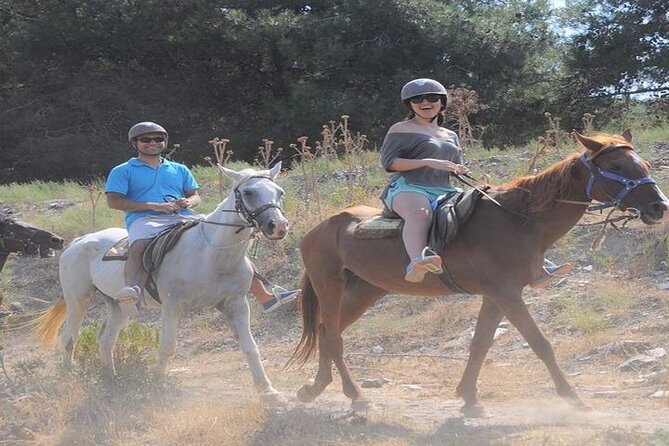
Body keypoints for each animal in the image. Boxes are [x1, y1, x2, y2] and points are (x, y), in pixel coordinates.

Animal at [35, 163, 288, 403]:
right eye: (248, 192)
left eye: (280, 192)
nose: (278, 226)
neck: (211, 254)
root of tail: (79, 240)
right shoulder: (172, 306)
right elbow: (168, 347)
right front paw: (158, 387)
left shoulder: (236, 304)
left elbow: (250, 347)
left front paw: (269, 391)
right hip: (78, 300)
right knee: (69, 337)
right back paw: (69, 379)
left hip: (119, 306)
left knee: (106, 340)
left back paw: (111, 381)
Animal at [288, 130, 669, 415]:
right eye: (617, 164)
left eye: (646, 163)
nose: (659, 206)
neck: (518, 220)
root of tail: (316, 230)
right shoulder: (506, 294)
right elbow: (541, 344)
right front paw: (572, 397)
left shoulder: (497, 295)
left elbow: (480, 344)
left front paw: (468, 397)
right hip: (330, 286)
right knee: (333, 338)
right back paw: (355, 395)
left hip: (364, 291)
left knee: (326, 331)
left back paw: (314, 388)